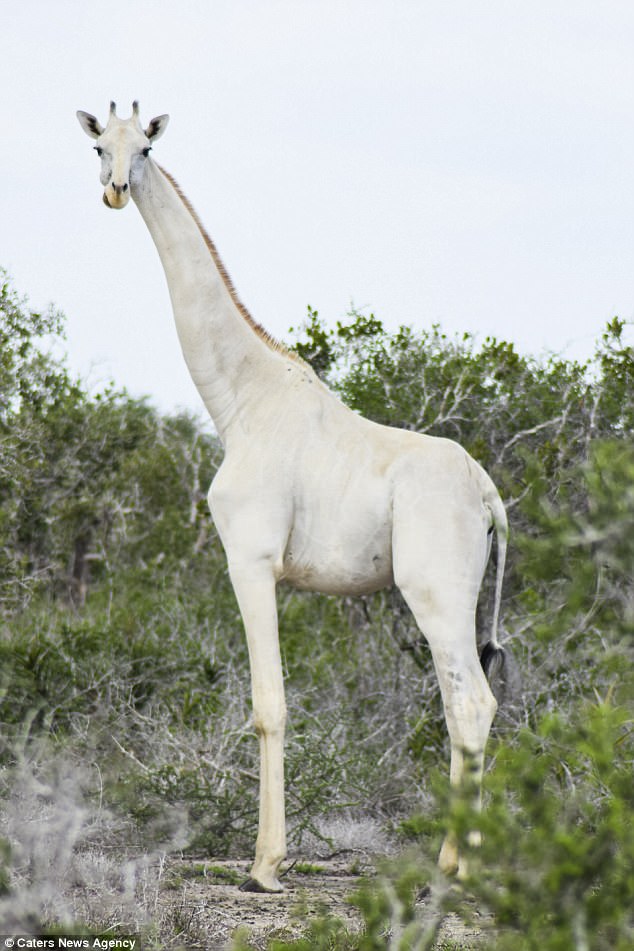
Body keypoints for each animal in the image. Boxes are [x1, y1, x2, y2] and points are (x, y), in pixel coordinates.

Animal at [79, 102, 506, 892]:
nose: (117, 190)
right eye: (99, 147)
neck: (239, 400)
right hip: (454, 598)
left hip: (435, 592)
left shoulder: (250, 560)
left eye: (146, 147)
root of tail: (492, 498)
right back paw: (464, 862)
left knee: (470, 701)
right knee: (470, 703)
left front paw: (265, 865)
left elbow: (268, 706)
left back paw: (452, 867)